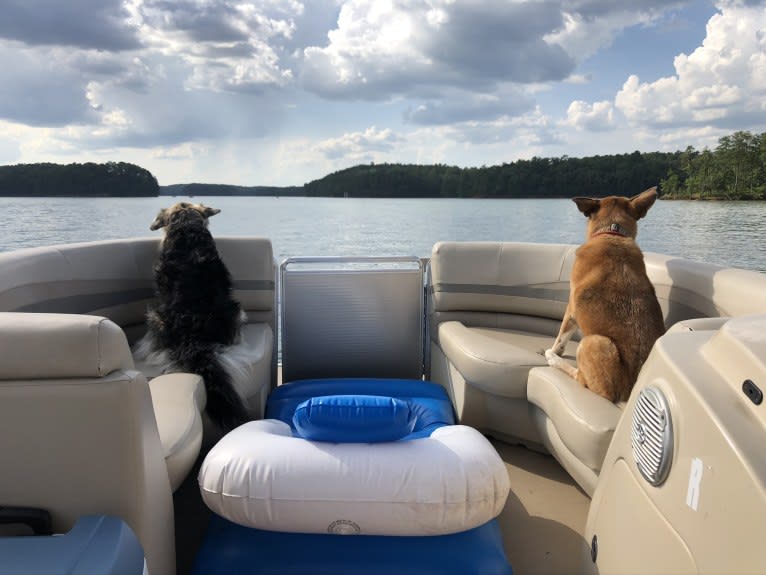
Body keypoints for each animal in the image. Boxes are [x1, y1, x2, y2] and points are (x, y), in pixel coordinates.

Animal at [544, 188, 664, 400]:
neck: (612, 232)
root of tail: (629, 390)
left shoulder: (571, 307)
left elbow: (560, 338)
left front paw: (555, 351)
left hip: (593, 342)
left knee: (582, 379)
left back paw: (553, 360)